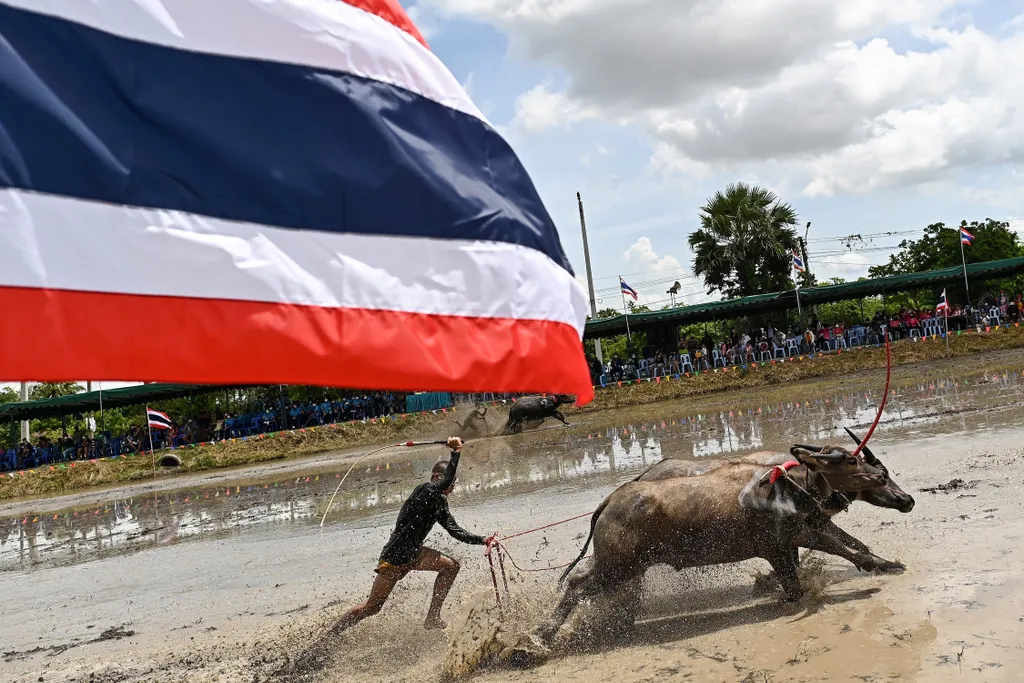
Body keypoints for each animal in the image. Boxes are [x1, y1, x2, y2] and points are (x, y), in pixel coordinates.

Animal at [536, 446, 888, 643]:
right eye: (851, 461)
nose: (881, 476)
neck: (783, 486)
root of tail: (612, 499)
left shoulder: (790, 541)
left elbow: (829, 554)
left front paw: (880, 562)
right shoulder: (782, 544)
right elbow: (824, 557)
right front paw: (876, 564)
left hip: (615, 563)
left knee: (583, 580)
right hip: (618, 567)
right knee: (577, 585)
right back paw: (538, 638)